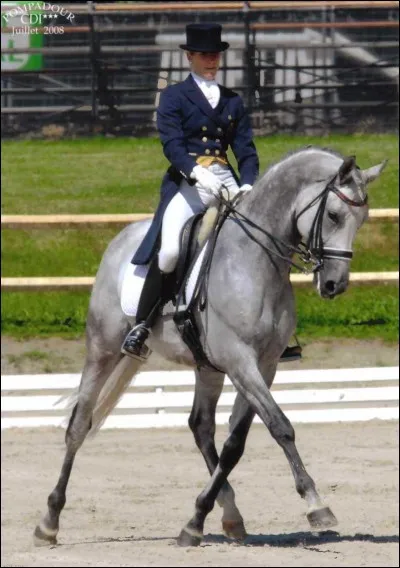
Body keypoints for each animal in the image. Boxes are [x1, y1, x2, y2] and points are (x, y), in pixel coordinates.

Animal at [34, 144, 388, 548]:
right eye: (333, 215)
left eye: (362, 220)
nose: (333, 285)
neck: (256, 262)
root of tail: (123, 238)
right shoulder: (240, 361)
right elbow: (281, 426)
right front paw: (317, 505)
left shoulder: (264, 365)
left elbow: (236, 443)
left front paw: (196, 519)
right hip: (103, 347)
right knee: (79, 425)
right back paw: (49, 522)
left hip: (206, 367)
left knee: (201, 427)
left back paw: (228, 515)